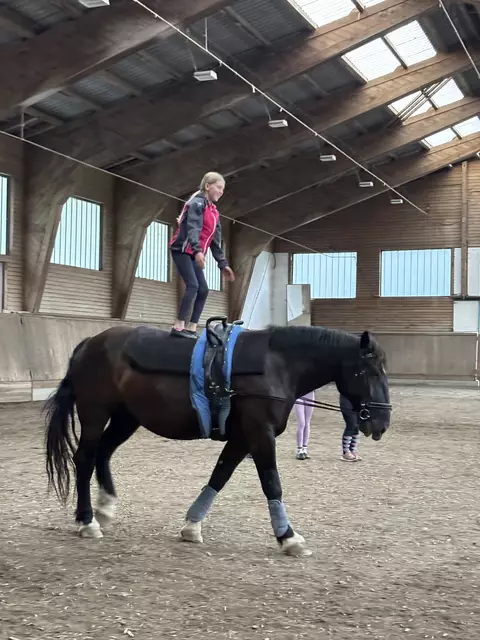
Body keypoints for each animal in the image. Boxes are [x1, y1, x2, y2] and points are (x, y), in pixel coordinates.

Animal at [44, 322, 391, 557]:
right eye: (369, 373)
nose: (382, 422)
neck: (276, 365)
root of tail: (91, 342)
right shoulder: (260, 434)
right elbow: (272, 484)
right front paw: (288, 537)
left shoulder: (241, 438)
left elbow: (219, 476)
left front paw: (191, 526)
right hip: (95, 413)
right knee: (84, 459)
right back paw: (87, 521)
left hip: (127, 417)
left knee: (103, 453)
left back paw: (105, 508)